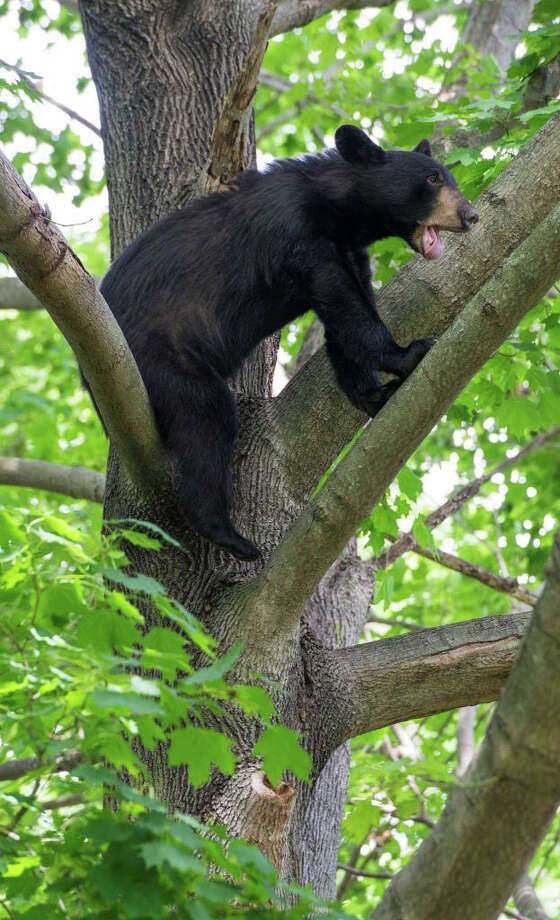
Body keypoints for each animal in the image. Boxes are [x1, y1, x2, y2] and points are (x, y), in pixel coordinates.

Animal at [88, 125, 478, 561]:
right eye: (433, 178)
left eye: (449, 177)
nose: (471, 215)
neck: (335, 209)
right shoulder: (294, 229)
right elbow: (343, 301)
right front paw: (406, 354)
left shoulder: (347, 250)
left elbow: (343, 316)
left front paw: (373, 394)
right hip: (158, 359)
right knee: (206, 418)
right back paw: (228, 534)